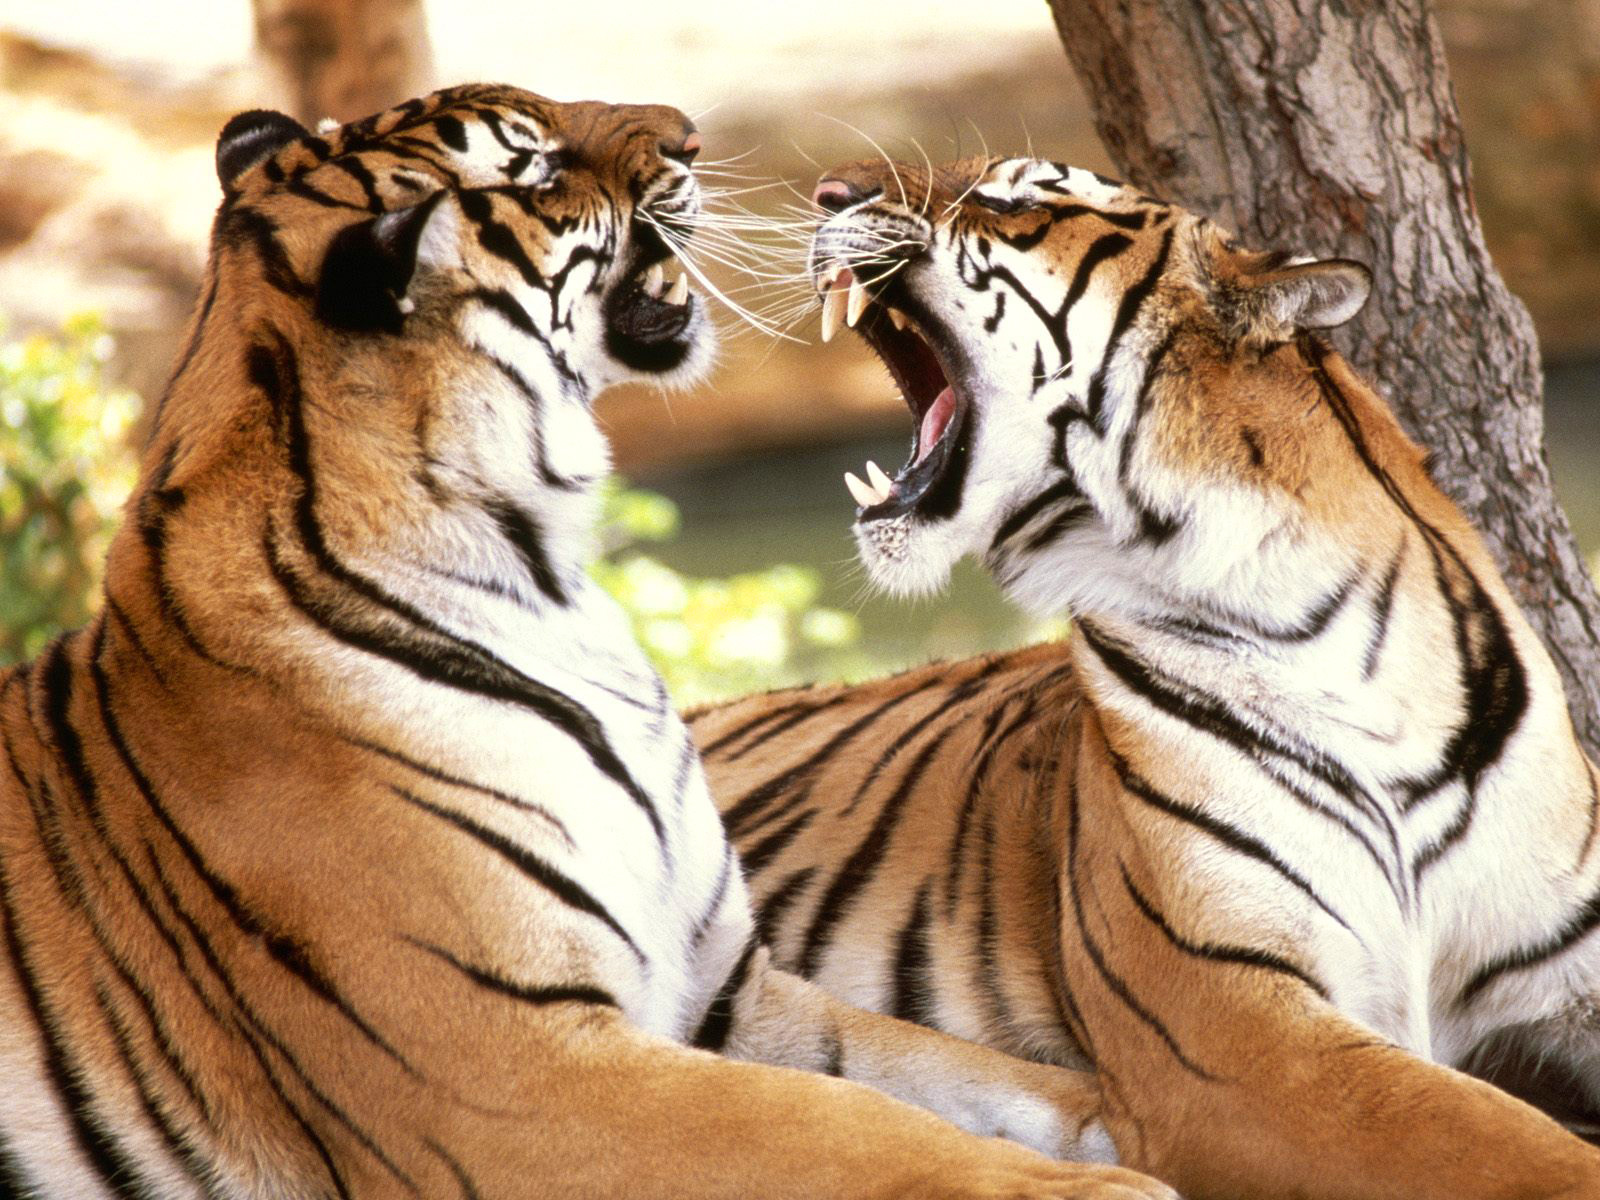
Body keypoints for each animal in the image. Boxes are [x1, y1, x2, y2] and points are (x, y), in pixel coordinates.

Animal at [0, 93, 1179, 1200]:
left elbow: (971, 1078)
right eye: (537, 167)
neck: (546, 572)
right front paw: (1097, 1189)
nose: (692, 134)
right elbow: (855, 1128)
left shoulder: (726, 993)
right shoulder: (509, 1071)